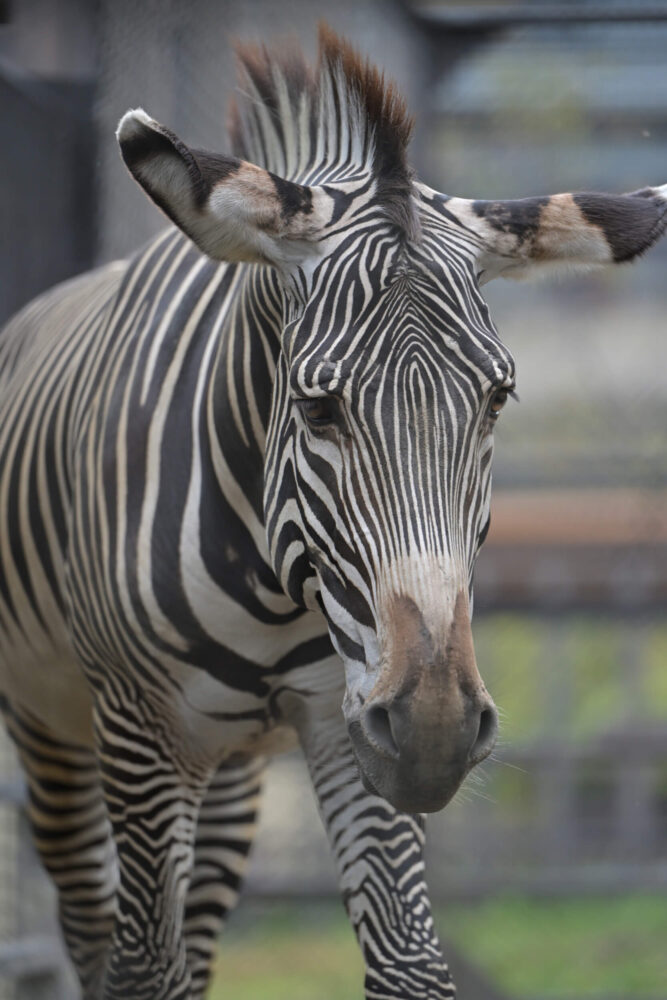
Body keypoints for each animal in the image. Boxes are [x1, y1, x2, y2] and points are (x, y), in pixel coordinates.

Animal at [0, 25, 664, 1000]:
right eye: (318, 409)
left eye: (497, 399)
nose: (437, 732)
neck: (274, 585)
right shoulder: (140, 733)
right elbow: (143, 967)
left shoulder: (350, 720)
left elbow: (408, 961)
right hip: (54, 728)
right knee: (95, 933)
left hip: (233, 771)